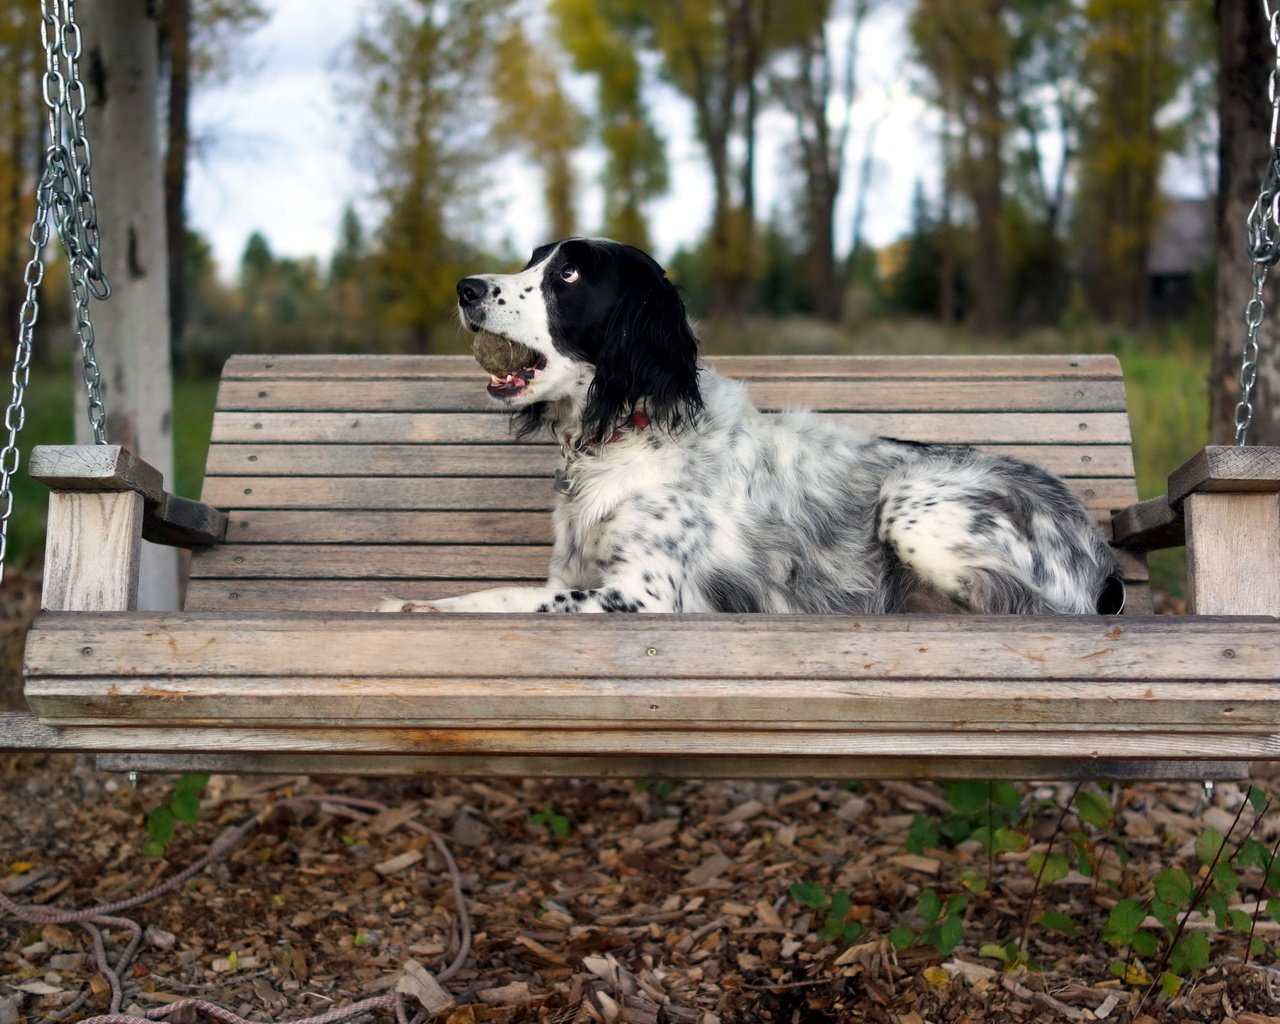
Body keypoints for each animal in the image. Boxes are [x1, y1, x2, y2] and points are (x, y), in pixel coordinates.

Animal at [384, 235, 1126, 611]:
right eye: (532, 260)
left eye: (567, 275)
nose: (466, 288)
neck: (626, 435)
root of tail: (1097, 545)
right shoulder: (574, 574)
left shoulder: (643, 595)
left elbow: (503, 601)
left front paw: (416, 609)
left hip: (910, 508)